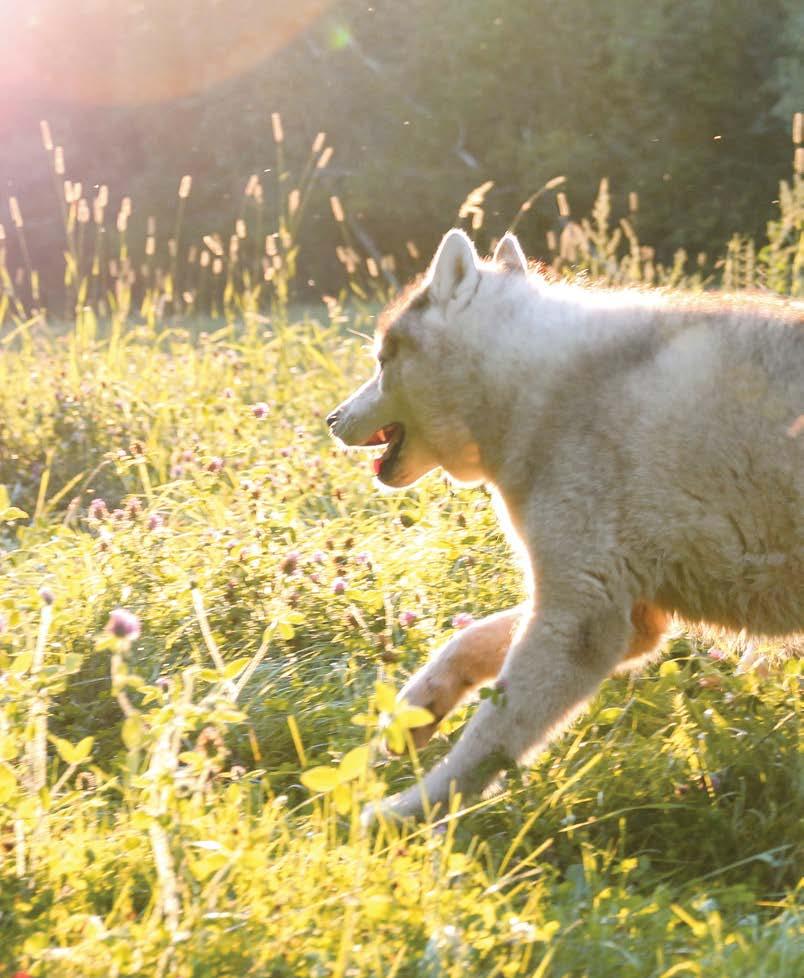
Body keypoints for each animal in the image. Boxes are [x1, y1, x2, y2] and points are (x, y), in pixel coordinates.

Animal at [328, 231, 804, 824]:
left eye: (381, 360)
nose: (331, 419)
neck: (533, 388)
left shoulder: (580, 618)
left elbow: (488, 739)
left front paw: (415, 810)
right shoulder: (624, 615)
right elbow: (464, 644)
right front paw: (415, 714)